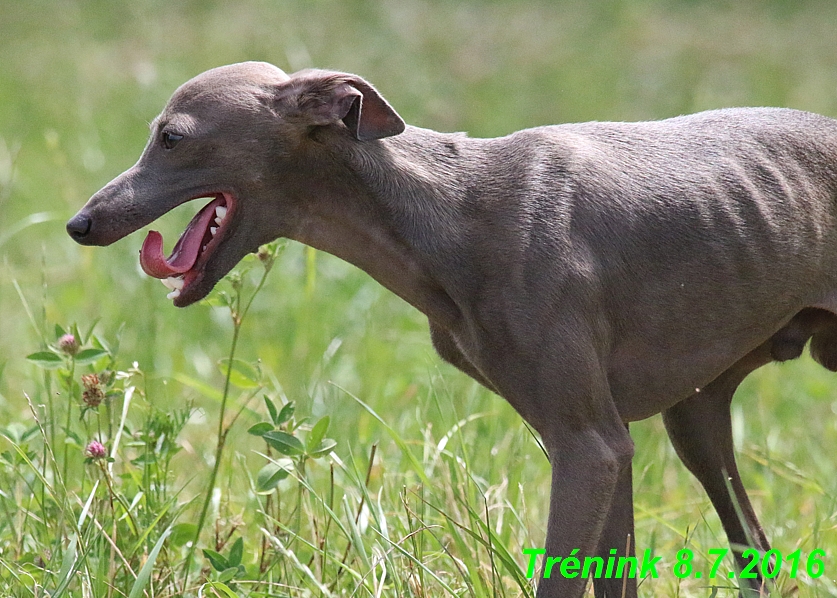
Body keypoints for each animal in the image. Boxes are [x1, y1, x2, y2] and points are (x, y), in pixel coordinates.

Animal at [67, 62, 837, 598]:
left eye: (172, 137)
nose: (80, 223)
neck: (446, 212)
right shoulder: (610, 440)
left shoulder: (587, 445)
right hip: (697, 419)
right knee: (756, 550)